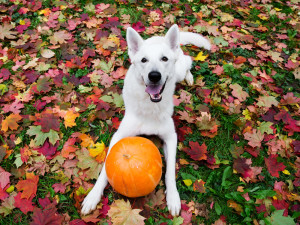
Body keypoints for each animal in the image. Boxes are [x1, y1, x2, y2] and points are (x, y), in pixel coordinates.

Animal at [81, 23, 211, 215]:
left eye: (164, 59)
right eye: (143, 60)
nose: (154, 75)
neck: (150, 107)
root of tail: (158, 37)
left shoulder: (171, 138)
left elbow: (170, 171)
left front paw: (173, 197)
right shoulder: (119, 136)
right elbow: (105, 168)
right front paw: (93, 195)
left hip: (178, 71)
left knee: (187, 62)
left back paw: (189, 77)